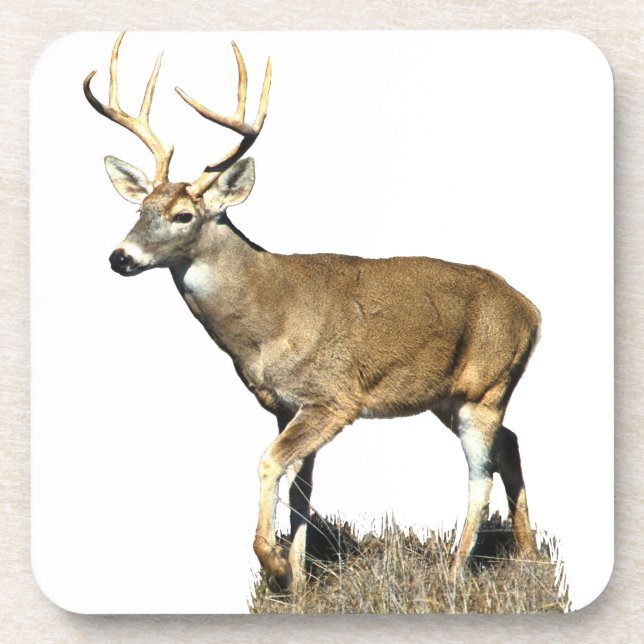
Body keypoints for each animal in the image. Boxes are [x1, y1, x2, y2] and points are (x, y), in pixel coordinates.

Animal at [84, 33, 541, 594]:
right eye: (139, 210)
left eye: (183, 215)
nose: (119, 257)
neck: (267, 321)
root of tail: (532, 310)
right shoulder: (285, 404)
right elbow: (302, 488)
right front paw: (299, 580)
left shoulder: (333, 398)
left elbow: (269, 462)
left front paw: (276, 564)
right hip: (450, 396)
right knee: (511, 443)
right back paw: (527, 554)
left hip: (485, 386)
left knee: (480, 473)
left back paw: (455, 573)